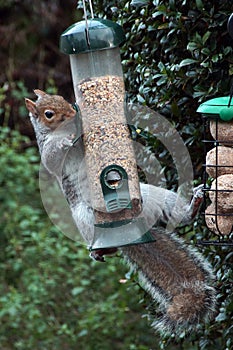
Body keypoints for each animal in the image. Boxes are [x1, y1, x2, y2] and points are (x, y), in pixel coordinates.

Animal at [25, 90, 217, 336]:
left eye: (62, 99)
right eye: (48, 114)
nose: (71, 114)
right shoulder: (48, 153)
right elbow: (53, 157)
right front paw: (65, 140)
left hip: (152, 196)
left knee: (173, 211)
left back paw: (193, 206)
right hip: (85, 216)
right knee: (102, 239)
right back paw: (101, 250)